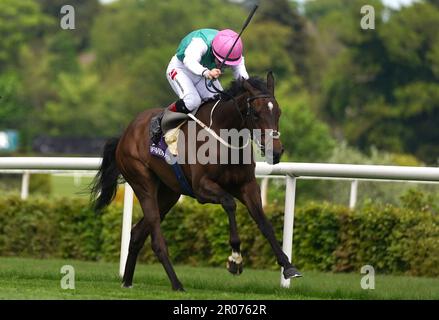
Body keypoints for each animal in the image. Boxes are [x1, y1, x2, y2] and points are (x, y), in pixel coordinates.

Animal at [90, 72, 302, 290]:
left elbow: (264, 222)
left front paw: (288, 266)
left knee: (137, 233)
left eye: (278, 113)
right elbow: (230, 203)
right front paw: (235, 259)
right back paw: (176, 283)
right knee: (155, 236)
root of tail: (125, 135)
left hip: (168, 194)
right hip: (142, 182)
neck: (225, 137)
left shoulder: (247, 186)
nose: (275, 152)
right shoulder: (202, 188)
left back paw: (127, 281)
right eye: (256, 114)